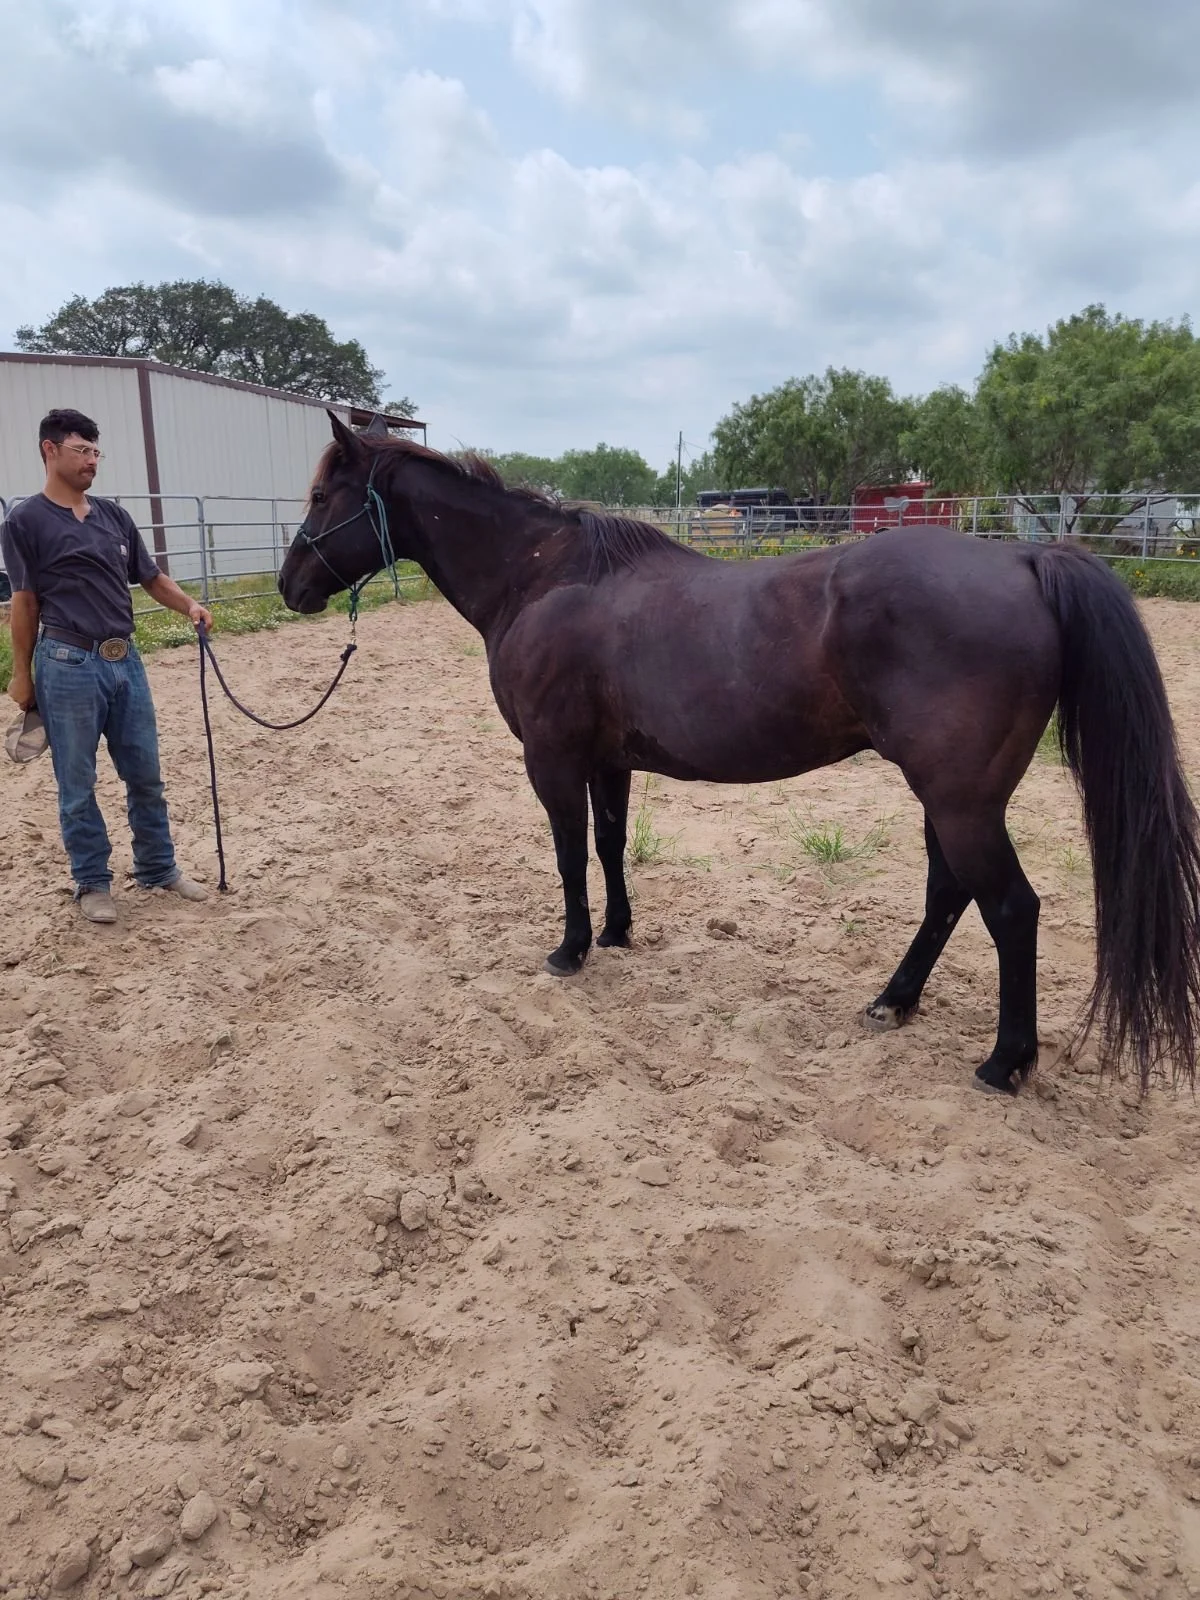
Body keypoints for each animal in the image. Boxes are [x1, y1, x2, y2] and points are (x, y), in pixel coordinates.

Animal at [277, 412, 1200, 1099]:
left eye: (323, 494)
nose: (290, 586)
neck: (543, 578)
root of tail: (1027, 555)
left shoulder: (553, 759)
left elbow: (570, 854)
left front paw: (570, 951)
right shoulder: (609, 761)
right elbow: (610, 845)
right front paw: (617, 934)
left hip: (961, 799)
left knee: (1009, 908)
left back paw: (1003, 1063)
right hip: (950, 798)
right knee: (949, 893)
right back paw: (892, 1003)